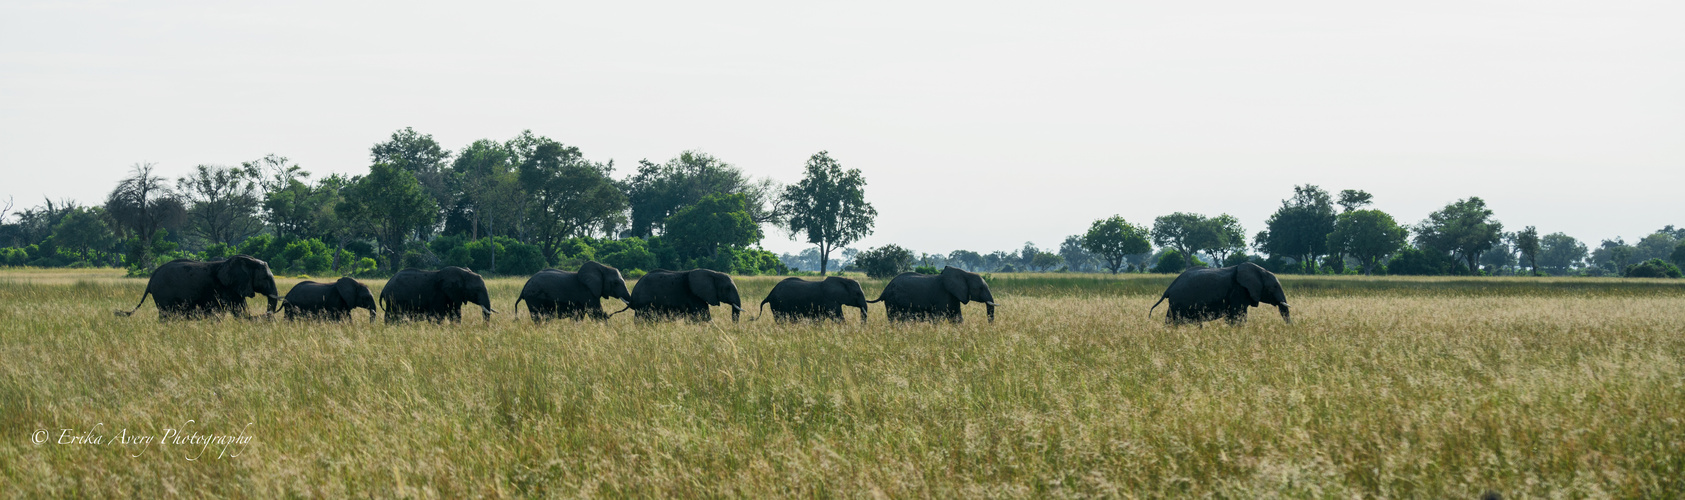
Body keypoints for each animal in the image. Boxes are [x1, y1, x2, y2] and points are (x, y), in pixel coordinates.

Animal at [115, 252, 281, 319]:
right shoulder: (225, 288)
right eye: (265, 277)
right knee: (167, 314)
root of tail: (152, 277)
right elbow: (235, 311)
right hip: (162, 294)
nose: (266, 315)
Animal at [1145, 259, 1287, 324]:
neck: (1260, 270)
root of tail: (1169, 288)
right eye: (1275, 286)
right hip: (1179, 302)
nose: (1288, 327)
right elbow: (1238, 315)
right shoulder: (1238, 291)